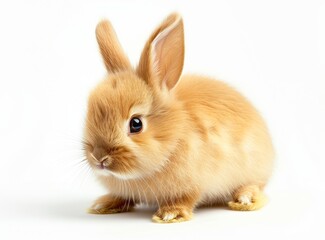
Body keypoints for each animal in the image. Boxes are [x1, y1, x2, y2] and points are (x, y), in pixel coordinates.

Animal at [83, 13, 274, 223]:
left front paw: (170, 214)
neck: (174, 138)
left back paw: (245, 200)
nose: (99, 157)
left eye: (136, 124)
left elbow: (187, 198)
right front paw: (104, 204)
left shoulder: (195, 183)